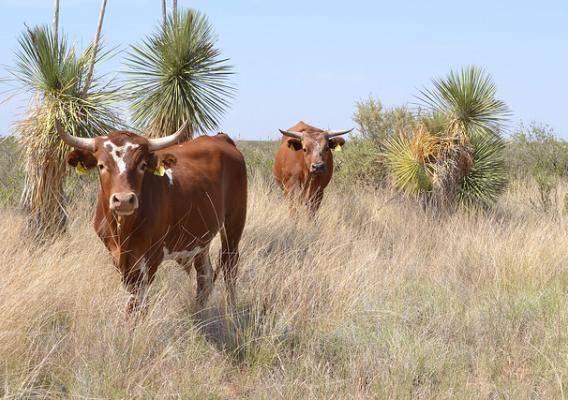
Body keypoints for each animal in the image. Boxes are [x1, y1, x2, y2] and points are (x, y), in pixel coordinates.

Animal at [55, 120, 246, 314]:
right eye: (101, 165)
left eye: (142, 165)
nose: (124, 200)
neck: (123, 232)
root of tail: (220, 138)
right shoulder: (117, 257)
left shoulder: (151, 258)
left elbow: (139, 303)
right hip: (201, 237)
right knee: (204, 277)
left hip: (234, 223)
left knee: (230, 266)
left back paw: (232, 312)